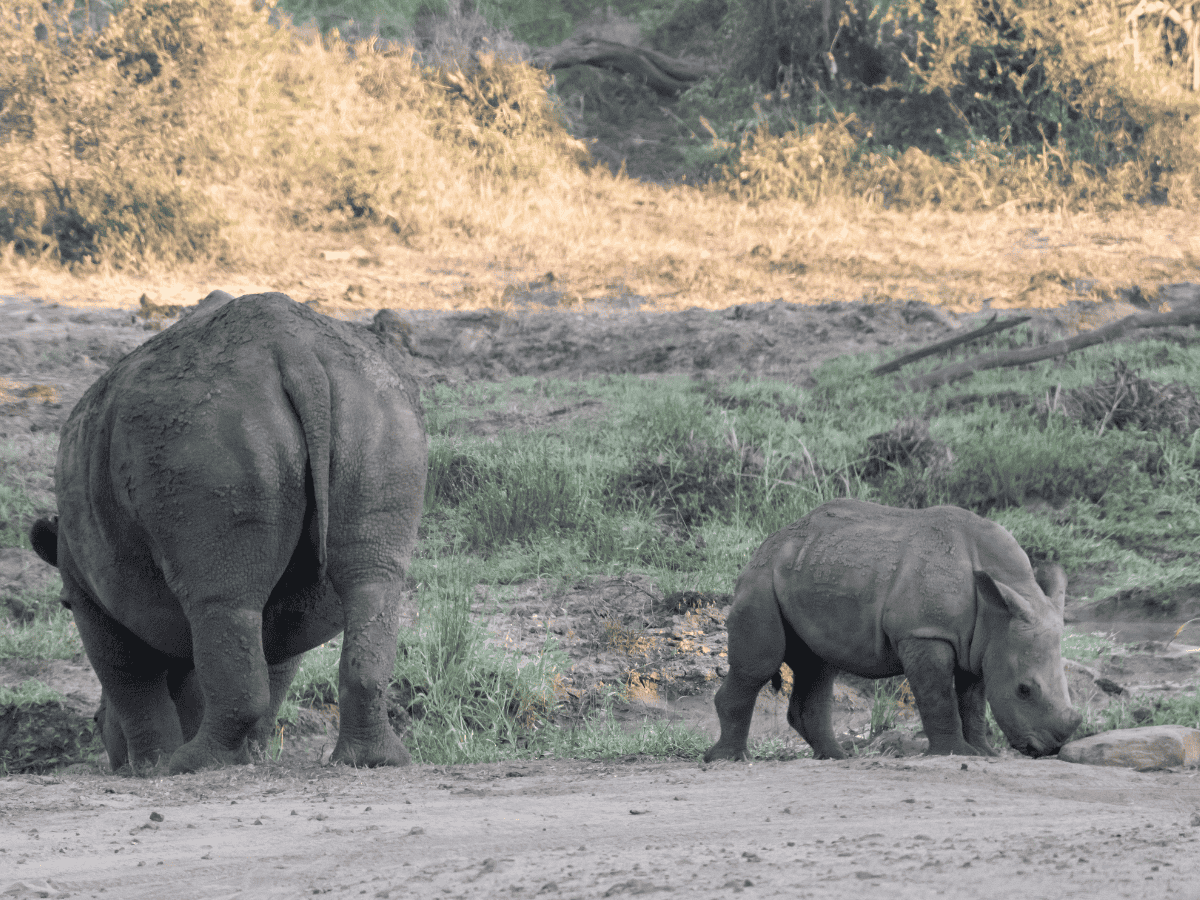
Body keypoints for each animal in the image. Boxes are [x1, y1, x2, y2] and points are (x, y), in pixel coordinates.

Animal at [29, 292, 427, 774]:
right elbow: (272, 664)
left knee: (220, 600)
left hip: (205, 435)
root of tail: (297, 353)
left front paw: (151, 768)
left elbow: (129, 680)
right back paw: (372, 761)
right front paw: (247, 758)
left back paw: (192, 764)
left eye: (93, 723)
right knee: (371, 581)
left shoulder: (87, 594)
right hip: (378, 412)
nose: (114, 757)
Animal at [704, 499, 1081, 761]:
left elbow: (973, 699)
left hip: (807, 569)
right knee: (760, 665)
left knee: (819, 667)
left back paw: (836, 757)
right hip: (761, 580)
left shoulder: (983, 642)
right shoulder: (924, 632)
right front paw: (956, 753)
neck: (998, 607)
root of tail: (770, 541)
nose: (1049, 748)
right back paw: (730, 759)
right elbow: (938, 696)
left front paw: (983, 753)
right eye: (1024, 691)